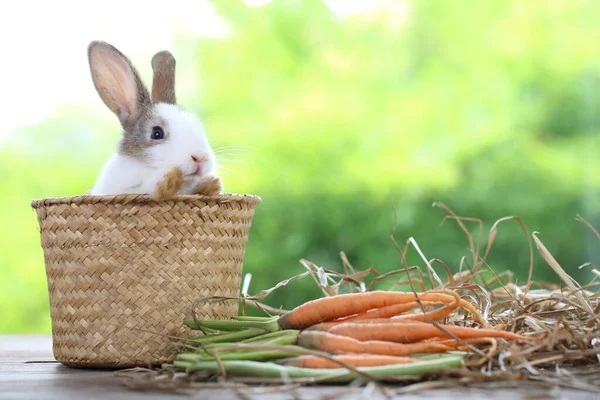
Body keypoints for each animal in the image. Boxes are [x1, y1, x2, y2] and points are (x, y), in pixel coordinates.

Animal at [85, 40, 223, 200]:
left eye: (198, 125)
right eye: (157, 133)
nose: (200, 158)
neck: (149, 169)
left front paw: (212, 184)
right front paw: (169, 183)